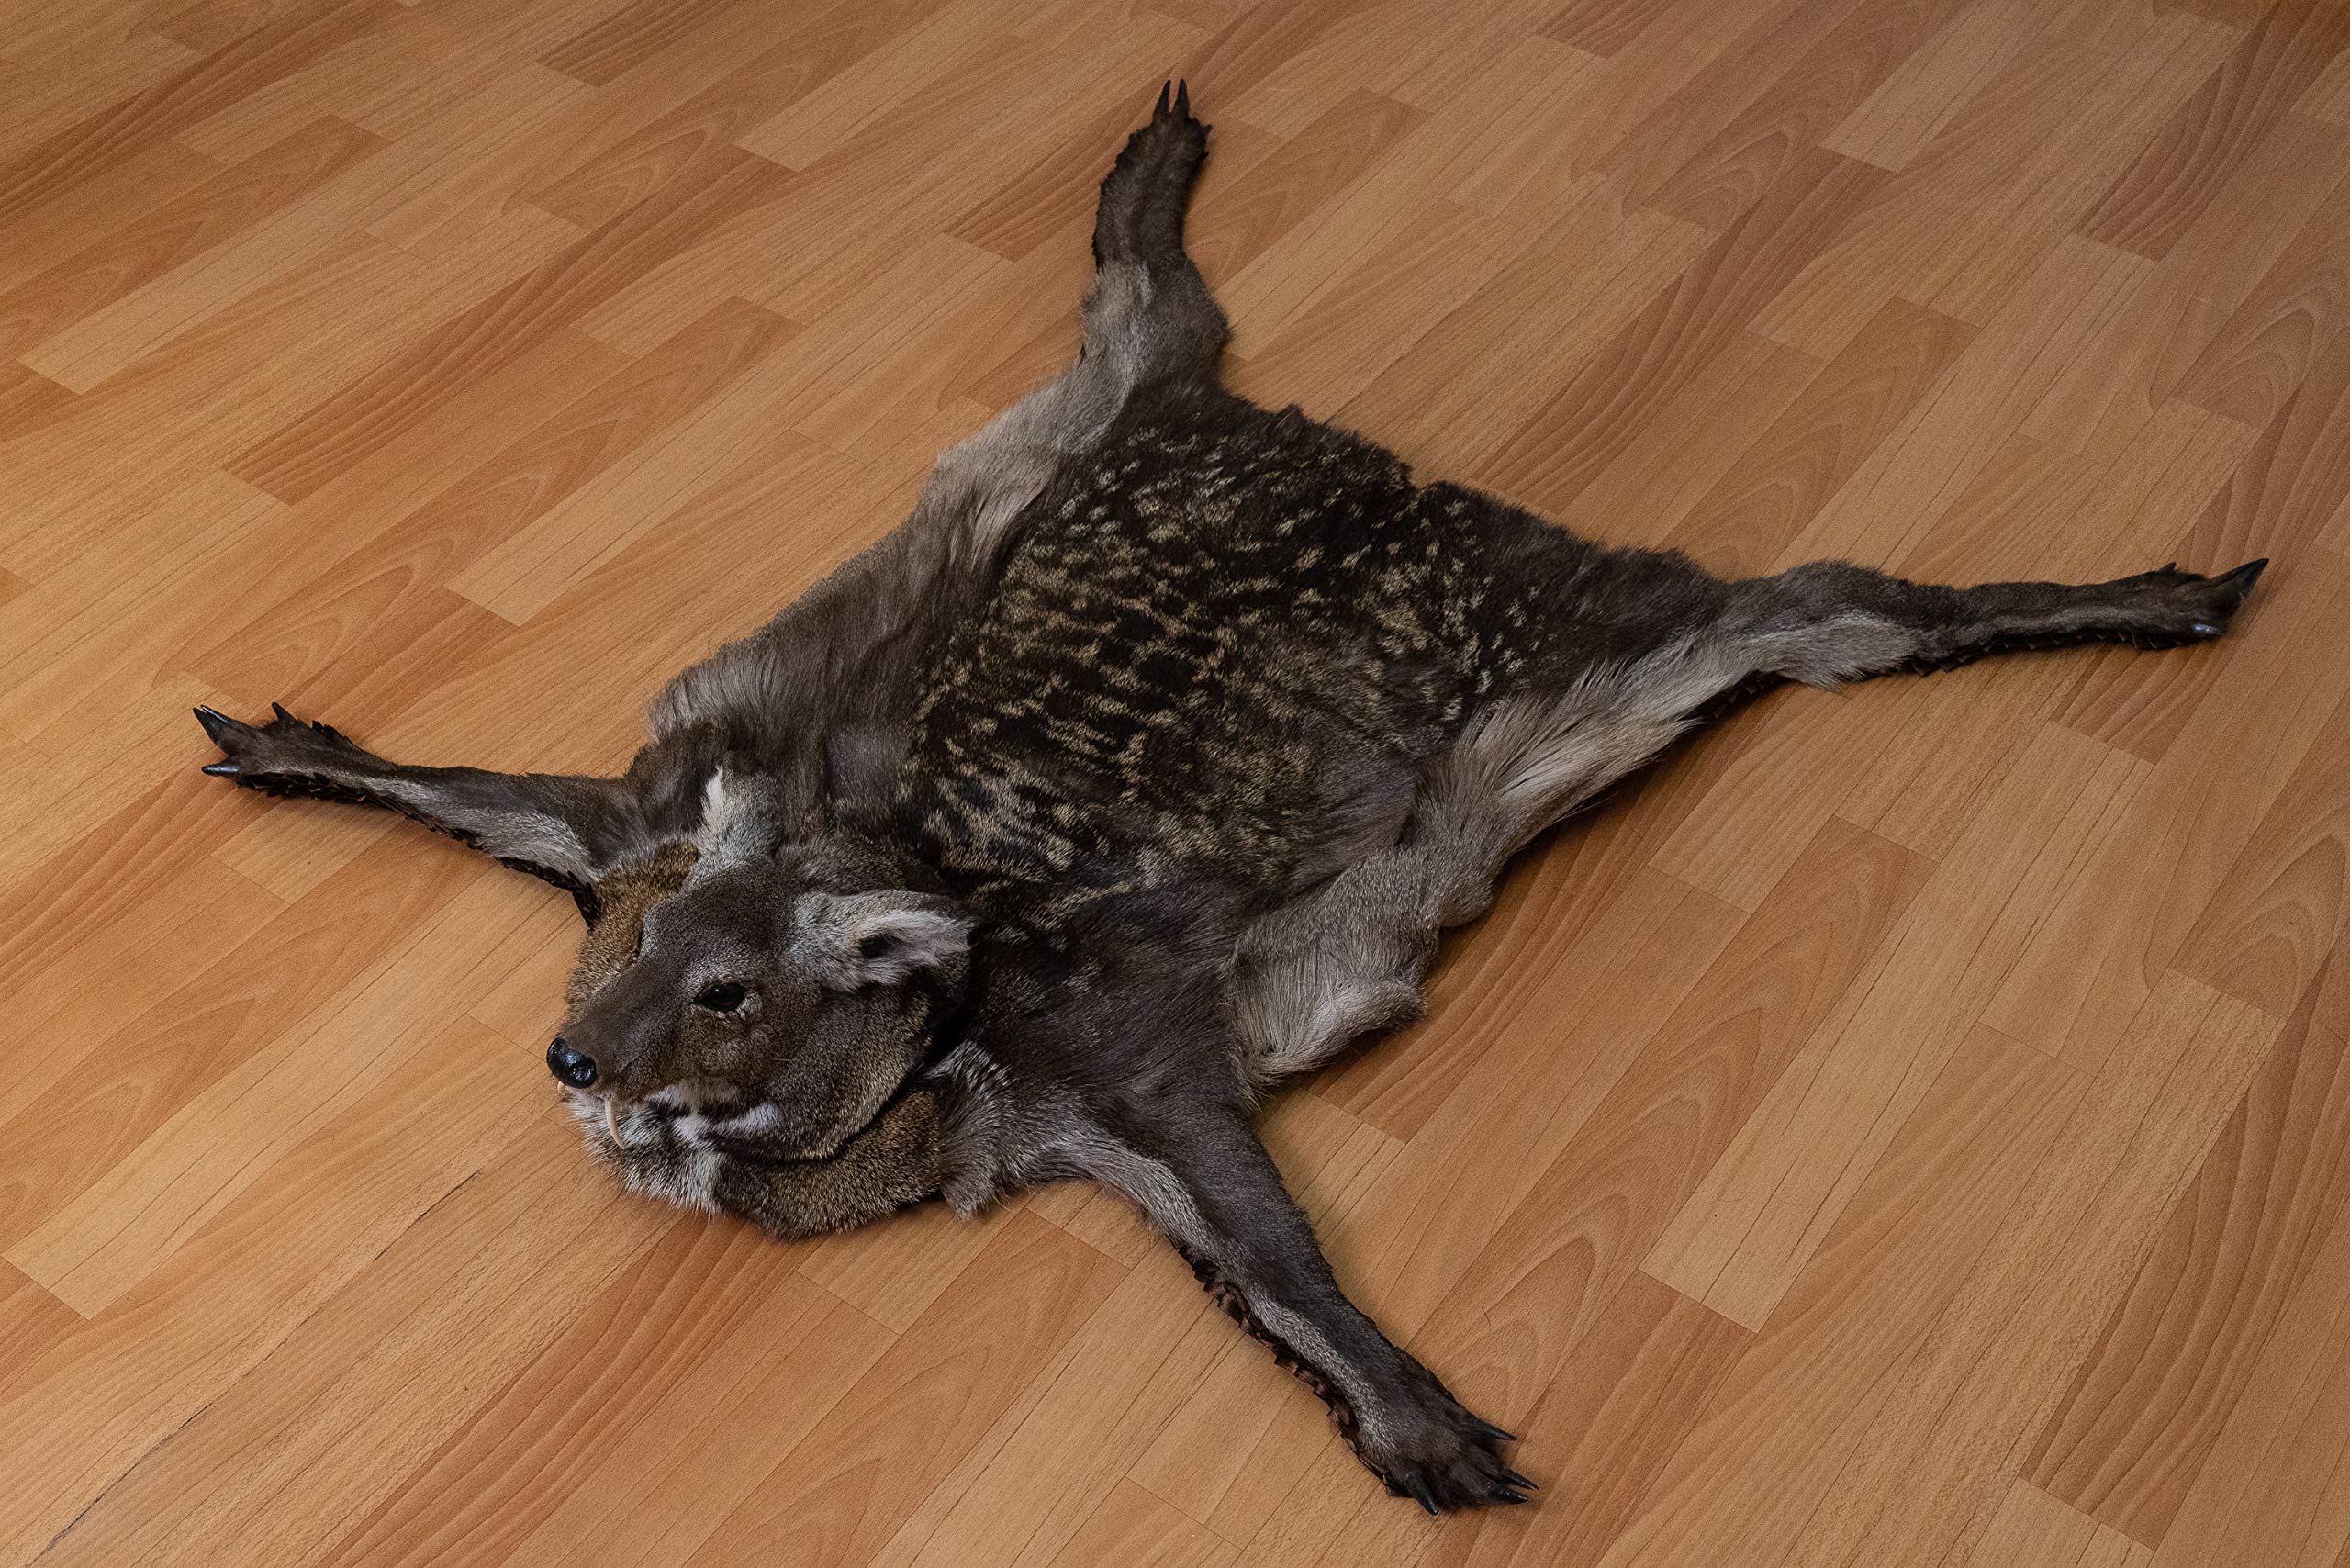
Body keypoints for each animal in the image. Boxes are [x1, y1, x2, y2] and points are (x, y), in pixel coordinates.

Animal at [193, 85, 2267, 1512]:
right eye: (632, 953)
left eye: (729, 993)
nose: (569, 1061)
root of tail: (1375, 463)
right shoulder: (655, 820)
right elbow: (495, 792)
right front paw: (298, 747)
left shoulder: (1136, 1045)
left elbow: (1274, 1255)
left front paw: (1420, 1413)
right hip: (1087, 438)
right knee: (1149, 319)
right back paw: (1148, 174)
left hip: (1598, 663)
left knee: (1832, 606)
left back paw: (2160, 592)